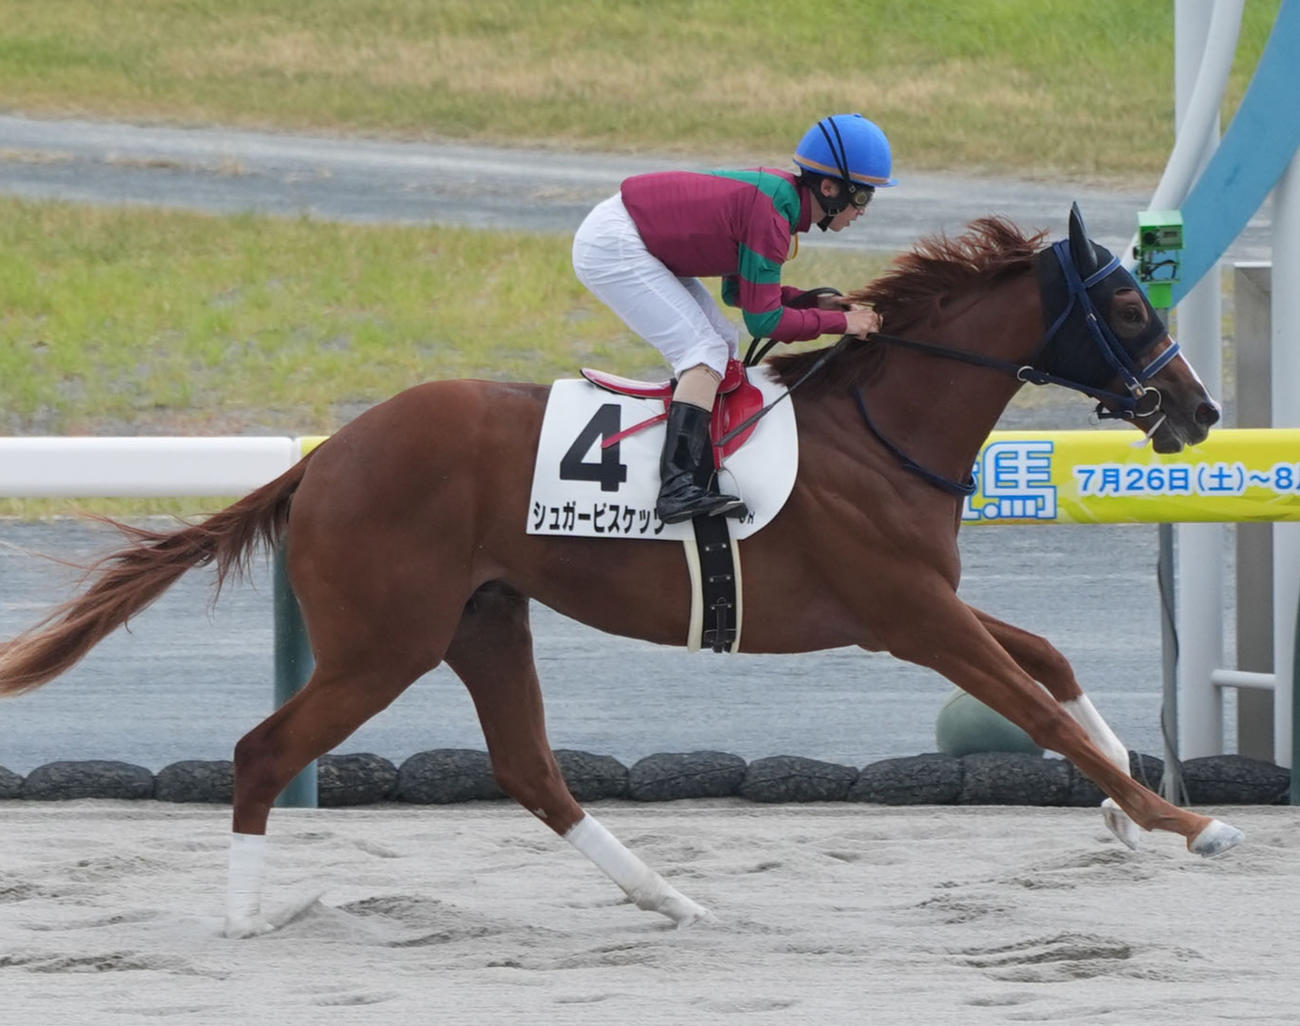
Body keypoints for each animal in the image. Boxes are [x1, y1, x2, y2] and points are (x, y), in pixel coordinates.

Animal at [0, 204, 1242, 937]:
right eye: (1125, 304)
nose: (1198, 410)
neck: (879, 428)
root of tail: (322, 458)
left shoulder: (921, 602)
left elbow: (1050, 662)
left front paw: (1126, 809)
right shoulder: (908, 613)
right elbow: (1031, 697)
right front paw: (1185, 824)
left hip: (483, 619)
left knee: (532, 772)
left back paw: (673, 898)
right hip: (384, 642)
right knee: (266, 750)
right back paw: (247, 919)